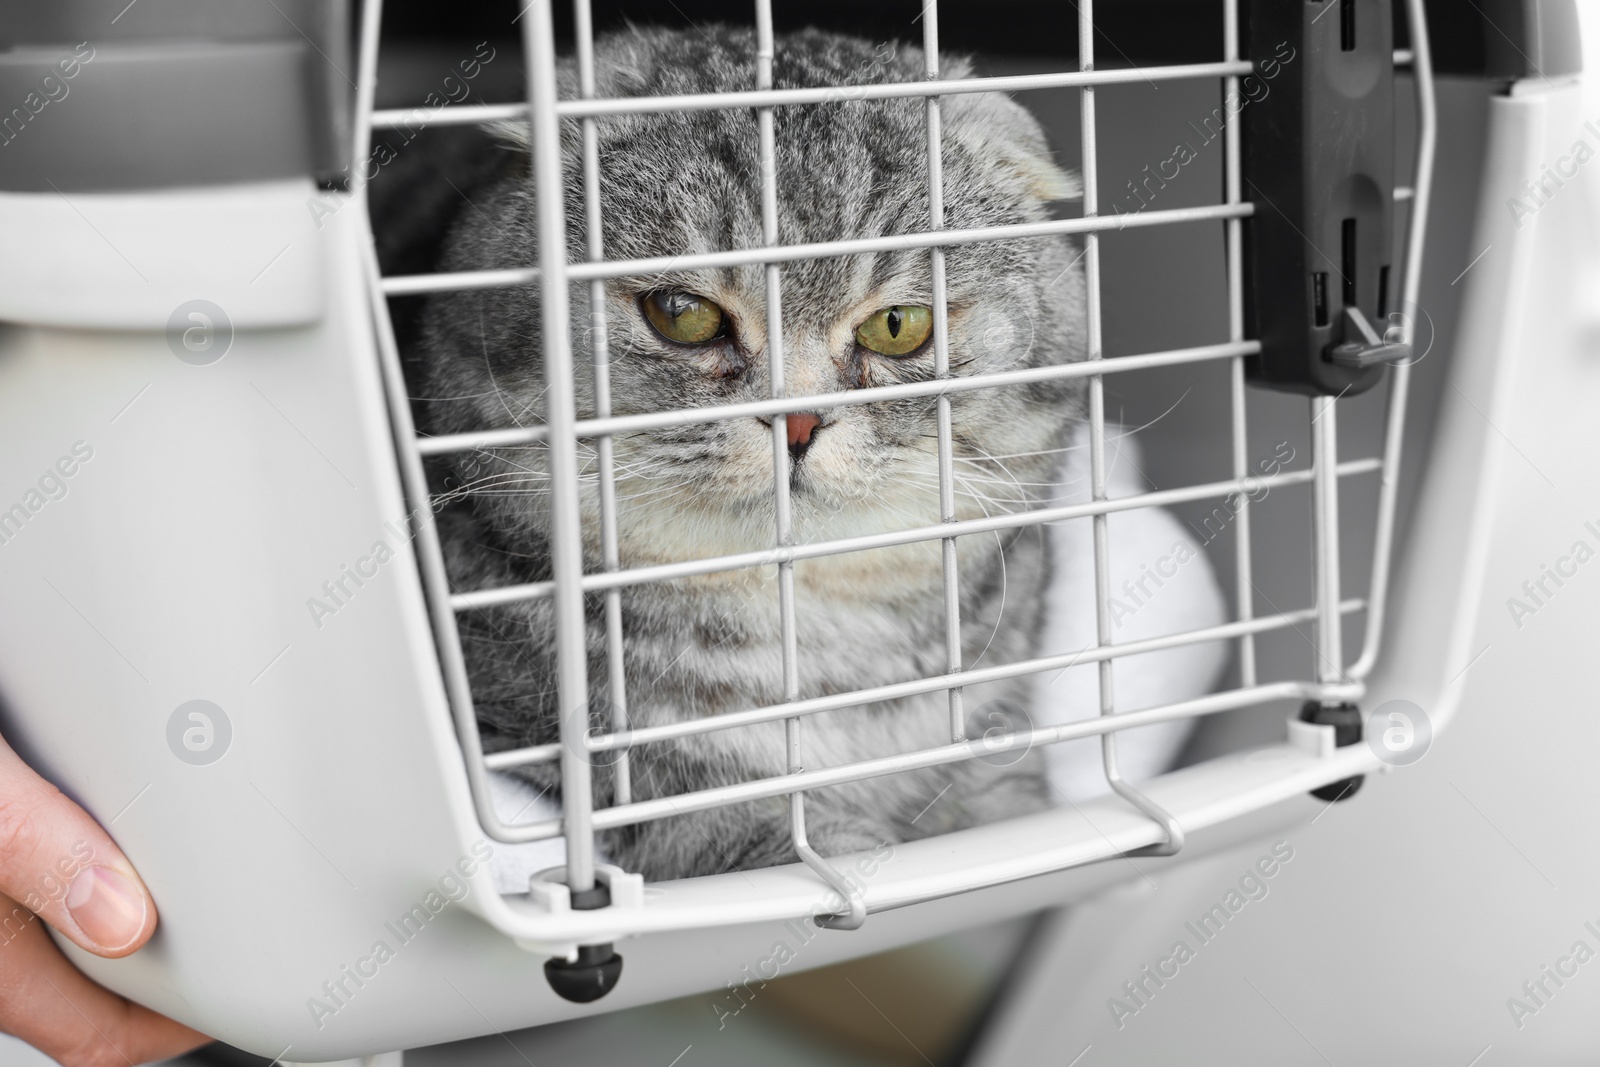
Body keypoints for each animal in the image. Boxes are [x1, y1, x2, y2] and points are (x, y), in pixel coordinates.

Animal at [398, 22, 1088, 883]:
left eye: (897, 325)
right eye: (682, 312)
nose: (795, 423)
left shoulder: (998, 721)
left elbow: (1007, 799)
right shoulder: (538, 744)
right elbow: (705, 812)